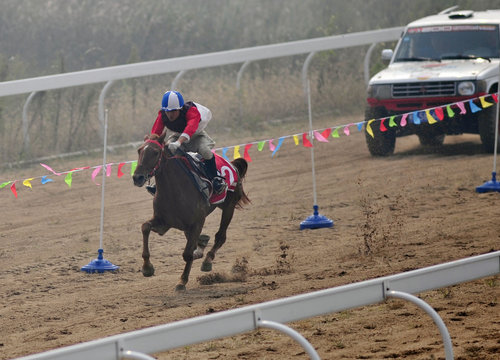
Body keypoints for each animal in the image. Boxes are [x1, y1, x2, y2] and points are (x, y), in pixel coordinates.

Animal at [133, 134, 250, 292]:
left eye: (156, 152)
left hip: (228, 207)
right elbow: (145, 227)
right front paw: (147, 268)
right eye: (139, 150)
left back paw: (207, 260)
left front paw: (182, 281)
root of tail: (232, 165)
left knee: (220, 237)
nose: (137, 177)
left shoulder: (197, 222)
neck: (174, 191)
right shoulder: (163, 222)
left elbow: (188, 254)